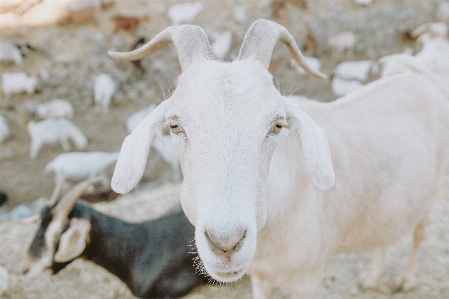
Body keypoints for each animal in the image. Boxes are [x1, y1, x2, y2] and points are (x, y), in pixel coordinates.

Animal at [107, 19, 448, 299]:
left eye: (277, 125)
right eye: (175, 125)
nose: (226, 244)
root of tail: (426, 79)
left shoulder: (307, 279)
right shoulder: (261, 277)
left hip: (433, 190)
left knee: (420, 232)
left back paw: (405, 281)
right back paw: (372, 278)